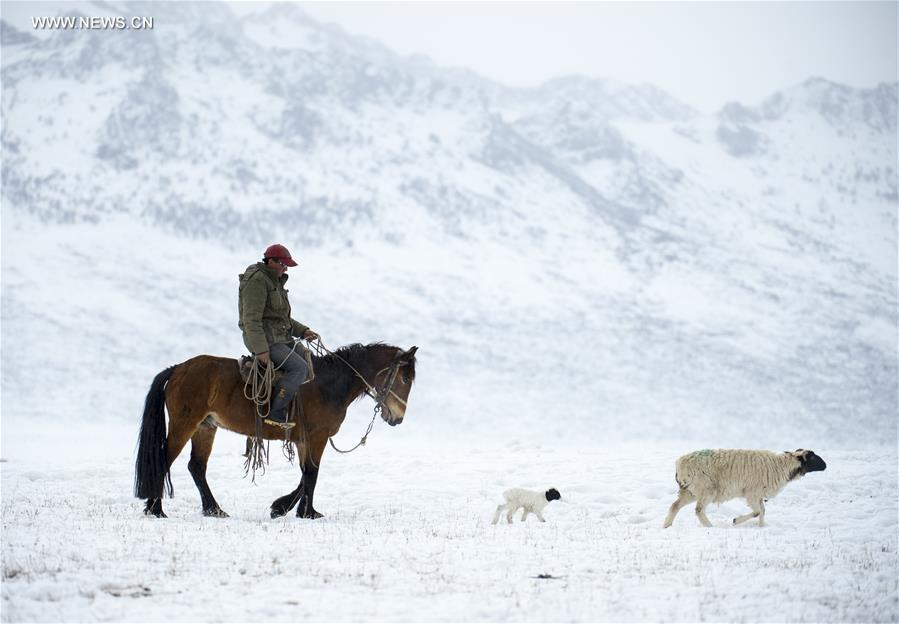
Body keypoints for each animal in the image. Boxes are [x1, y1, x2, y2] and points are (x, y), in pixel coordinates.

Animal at [134, 344, 418, 520]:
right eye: (405, 379)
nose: (398, 418)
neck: (330, 384)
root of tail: (178, 368)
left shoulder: (305, 440)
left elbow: (306, 474)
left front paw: (288, 508)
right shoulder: (317, 437)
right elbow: (312, 473)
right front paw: (303, 512)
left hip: (205, 427)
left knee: (197, 467)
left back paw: (213, 510)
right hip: (185, 423)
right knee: (164, 460)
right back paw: (156, 509)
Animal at [660, 446, 828, 528]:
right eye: (813, 457)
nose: (826, 465)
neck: (784, 466)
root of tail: (679, 464)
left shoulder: (759, 495)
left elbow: (762, 512)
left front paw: (762, 527)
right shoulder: (752, 493)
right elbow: (757, 512)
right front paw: (736, 520)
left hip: (690, 490)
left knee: (675, 506)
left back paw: (666, 525)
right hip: (706, 488)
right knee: (699, 510)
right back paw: (709, 526)